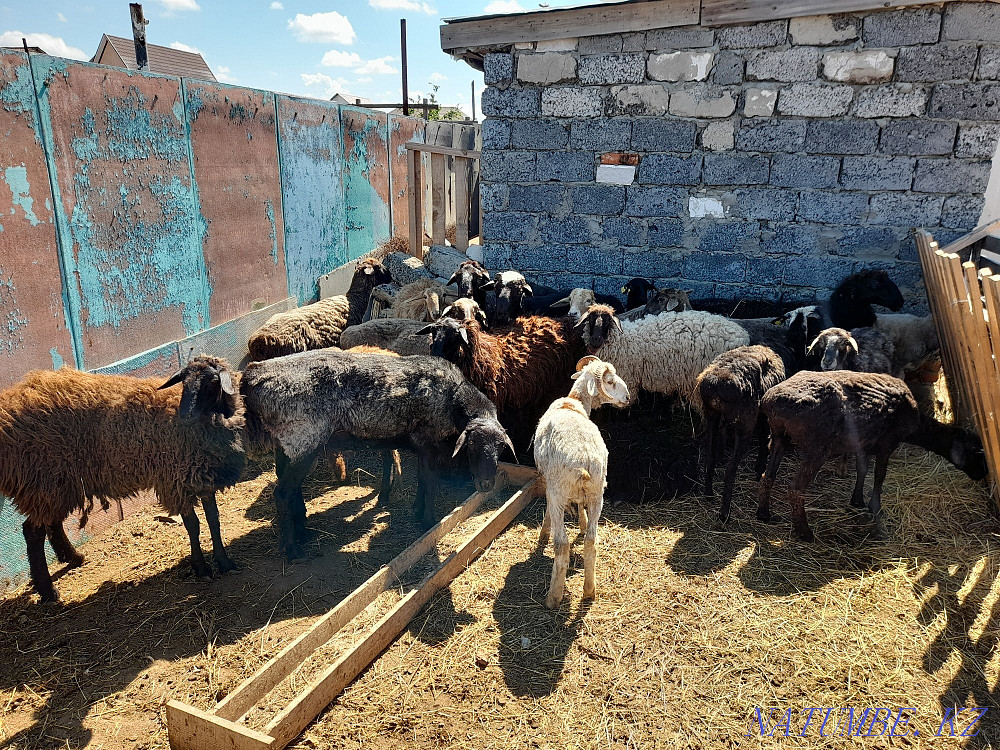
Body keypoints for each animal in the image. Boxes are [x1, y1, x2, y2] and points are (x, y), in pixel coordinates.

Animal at [0, 357, 246, 602]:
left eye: (212, 381)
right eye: (184, 382)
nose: (185, 417)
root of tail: (9, 404)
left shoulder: (204, 479)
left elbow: (214, 520)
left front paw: (224, 562)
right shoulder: (176, 481)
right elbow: (193, 526)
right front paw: (201, 568)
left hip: (56, 484)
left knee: (51, 524)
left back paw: (74, 558)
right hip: (44, 479)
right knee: (33, 532)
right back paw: (49, 591)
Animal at [240, 350, 514, 557]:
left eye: (501, 448)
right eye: (472, 445)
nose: (486, 484)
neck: (453, 399)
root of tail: (252, 376)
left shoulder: (421, 446)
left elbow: (421, 479)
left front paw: (416, 509)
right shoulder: (427, 441)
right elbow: (429, 481)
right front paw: (428, 521)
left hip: (287, 445)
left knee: (289, 488)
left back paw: (302, 532)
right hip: (303, 439)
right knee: (282, 493)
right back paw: (292, 550)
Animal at [534, 356, 630, 609]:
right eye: (609, 381)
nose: (628, 398)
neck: (573, 403)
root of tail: (584, 461)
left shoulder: (548, 483)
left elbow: (547, 513)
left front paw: (543, 534)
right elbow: (580, 507)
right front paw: (583, 522)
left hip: (559, 490)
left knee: (562, 545)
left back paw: (553, 597)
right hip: (598, 492)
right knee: (591, 541)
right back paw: (589, 591)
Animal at [574, 305, 751, 405]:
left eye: (607, 320)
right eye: (590, 319)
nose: (595, 339)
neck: (621, 340)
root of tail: (742, 336)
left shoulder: (627, 380)